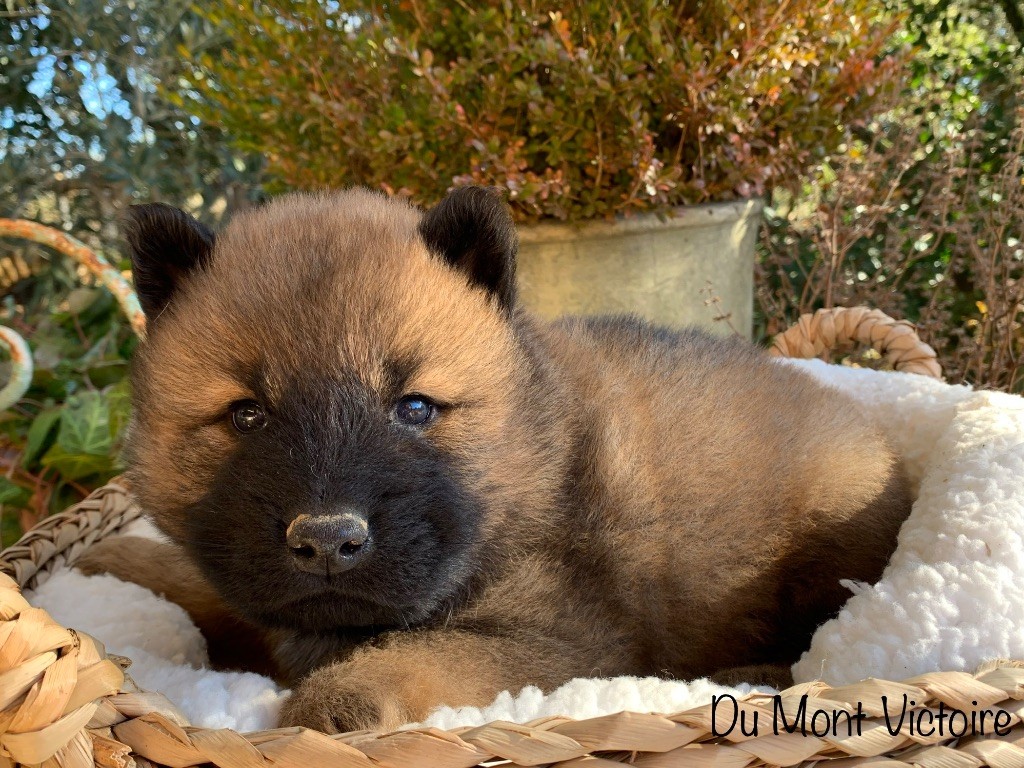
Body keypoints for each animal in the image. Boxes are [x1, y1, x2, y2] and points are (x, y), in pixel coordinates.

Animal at [78, 186, 912, 733]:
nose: (327, 540)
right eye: (245, 414)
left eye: (415, 408)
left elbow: (430, 650)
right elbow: (213, 590)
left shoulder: (560, 642)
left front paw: (339, 698)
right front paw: (118, 559)